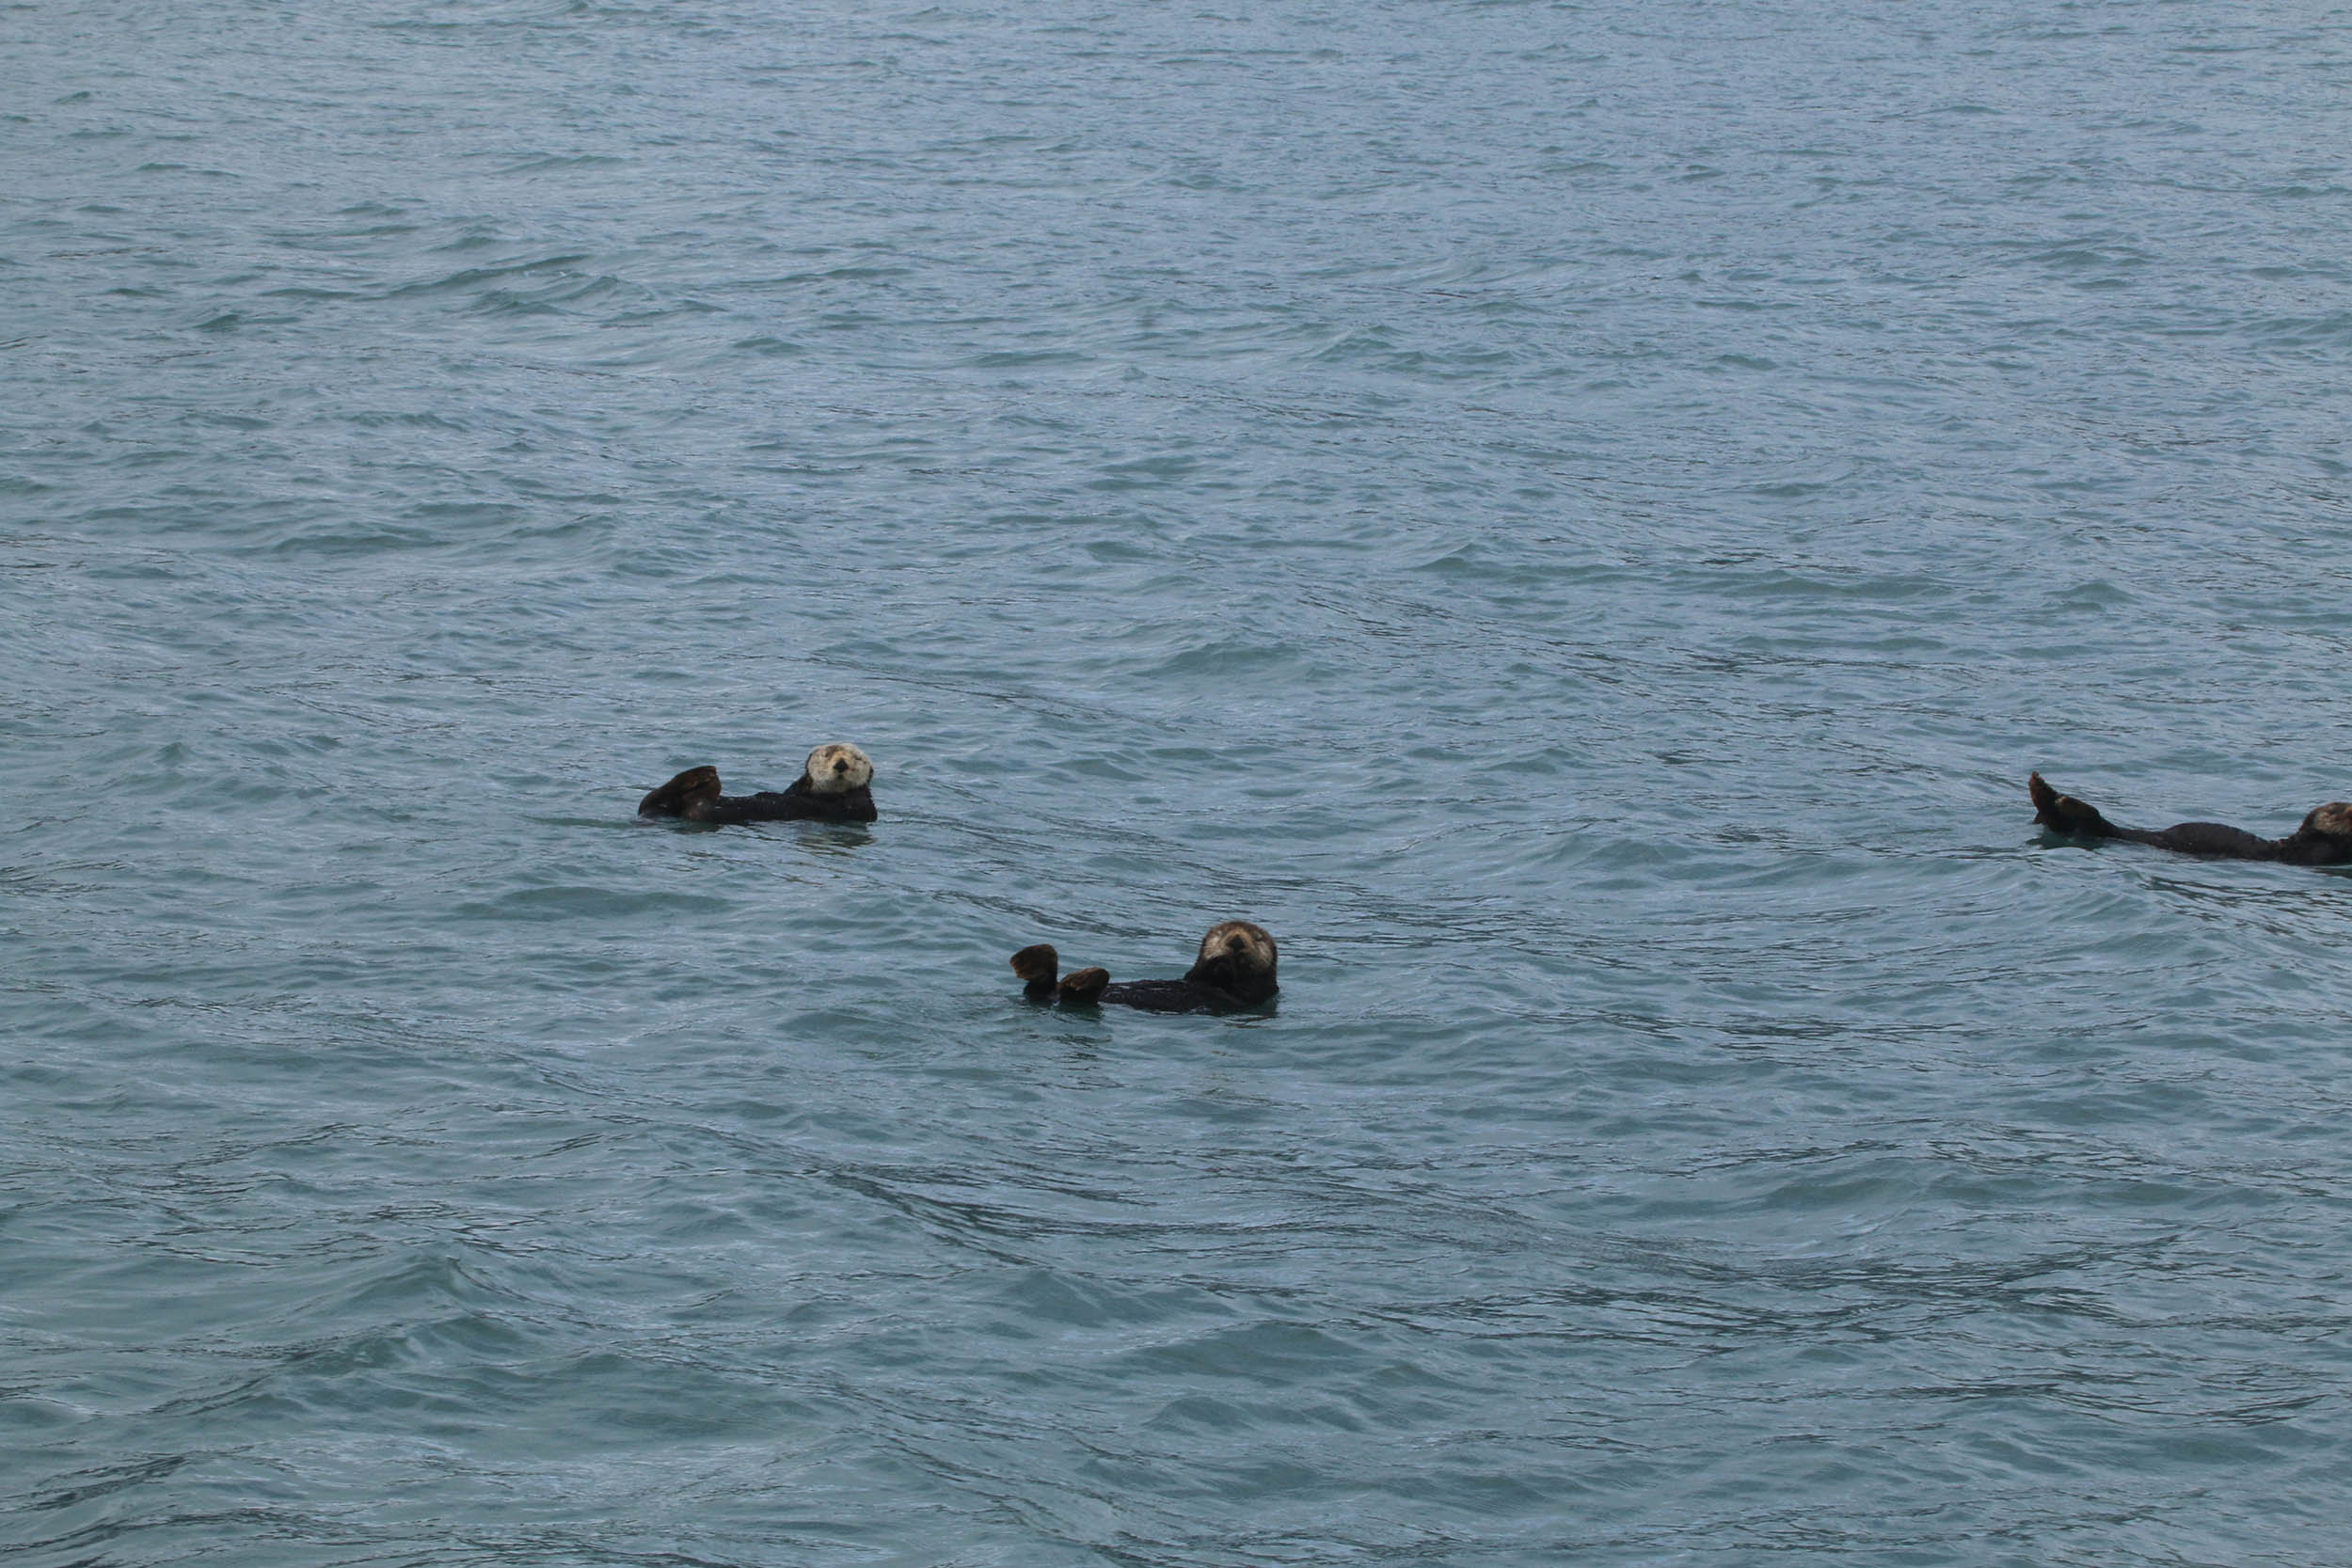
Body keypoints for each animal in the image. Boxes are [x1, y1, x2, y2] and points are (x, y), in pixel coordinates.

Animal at [639, 744, 877, 824]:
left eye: (857, 758)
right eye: (827, 755)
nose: (841, 764)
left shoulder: (862, 808)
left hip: (702, 811)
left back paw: (706, 777)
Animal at [1011, 921, 1279, 1013]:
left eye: (1257, 939)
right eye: (1222, 934)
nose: (1236, 940)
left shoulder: (1257, 994)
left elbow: (1250, 989)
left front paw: (1228, 965)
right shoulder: (1195, 975)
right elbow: (1196, 973)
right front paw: (1220, 962)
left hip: (1078, 996)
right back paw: (1032, 957)